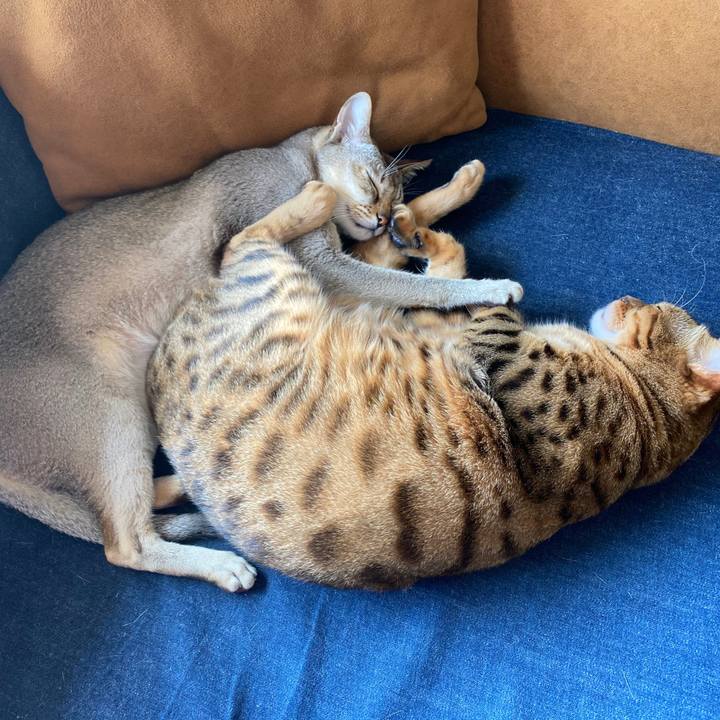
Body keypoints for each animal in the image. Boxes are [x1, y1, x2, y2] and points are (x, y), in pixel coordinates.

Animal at [0, 92, 522, 590]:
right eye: (372, 184)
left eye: (389, 193)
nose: (378, 217)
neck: (295, 162)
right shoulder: (325, 266)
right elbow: (417, 285)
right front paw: (489, 287)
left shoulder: (342, 257)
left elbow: (410, 226)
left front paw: (457, 187)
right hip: (109, 409)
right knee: (125, 542)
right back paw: (222, 566)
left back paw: (178, 488)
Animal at [148, 184, 720, 591]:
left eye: (653, 311)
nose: (626, 296)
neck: (646, 411)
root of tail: (159, 364)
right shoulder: (440, 327)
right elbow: (449, 268)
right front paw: (420, 234)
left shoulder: (497, 352)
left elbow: (478, 297)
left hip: (280, 284)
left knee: (245, 239)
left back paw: (318, 197)